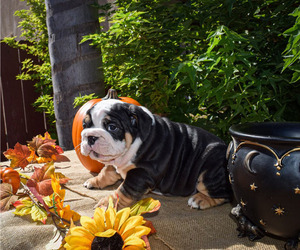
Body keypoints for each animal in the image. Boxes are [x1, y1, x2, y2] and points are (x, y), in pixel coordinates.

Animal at [81, 98, 231, 210]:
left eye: (112, 127)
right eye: (85, 125)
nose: (91, 137)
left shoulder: (141, 174)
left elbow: (122, 191)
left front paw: (107, 204)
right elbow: (107, 170)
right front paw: (95, 180)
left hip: (209, 172)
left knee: (223, 194)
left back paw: (200, 199)